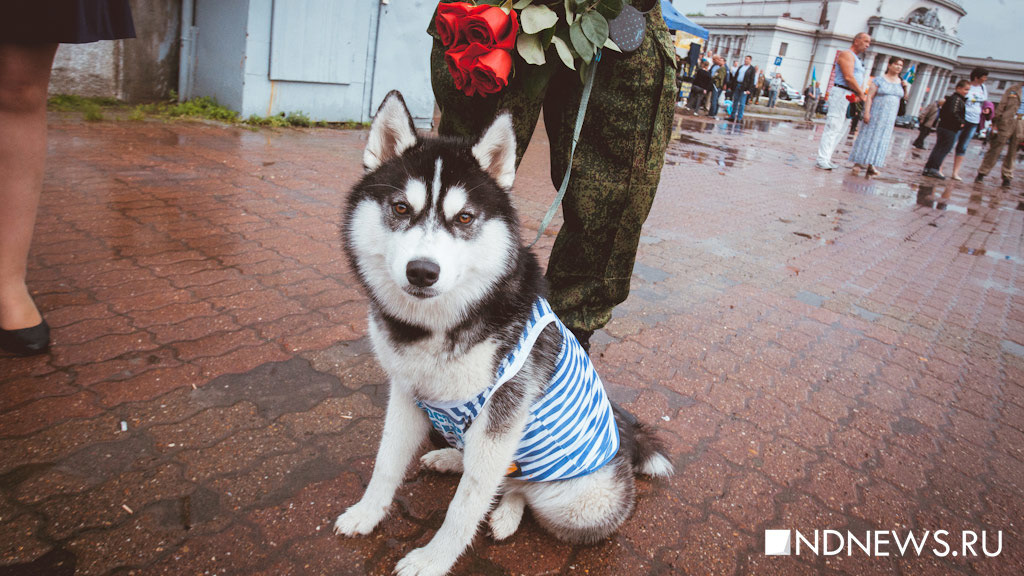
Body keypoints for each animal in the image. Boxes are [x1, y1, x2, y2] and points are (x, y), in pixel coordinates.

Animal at [333, 91, 671, 569]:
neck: (440, 327)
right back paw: (453, 460)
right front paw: (367, 513)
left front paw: (433, 560)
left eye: (464, 218)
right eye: (400, 208)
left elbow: (465, 504)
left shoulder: (500, 418)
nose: (422, 272)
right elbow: (386, 464)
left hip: (582, 501)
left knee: (519, 488)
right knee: (502, 477)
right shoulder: (407, 394)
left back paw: (507, 511)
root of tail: (624, 441)